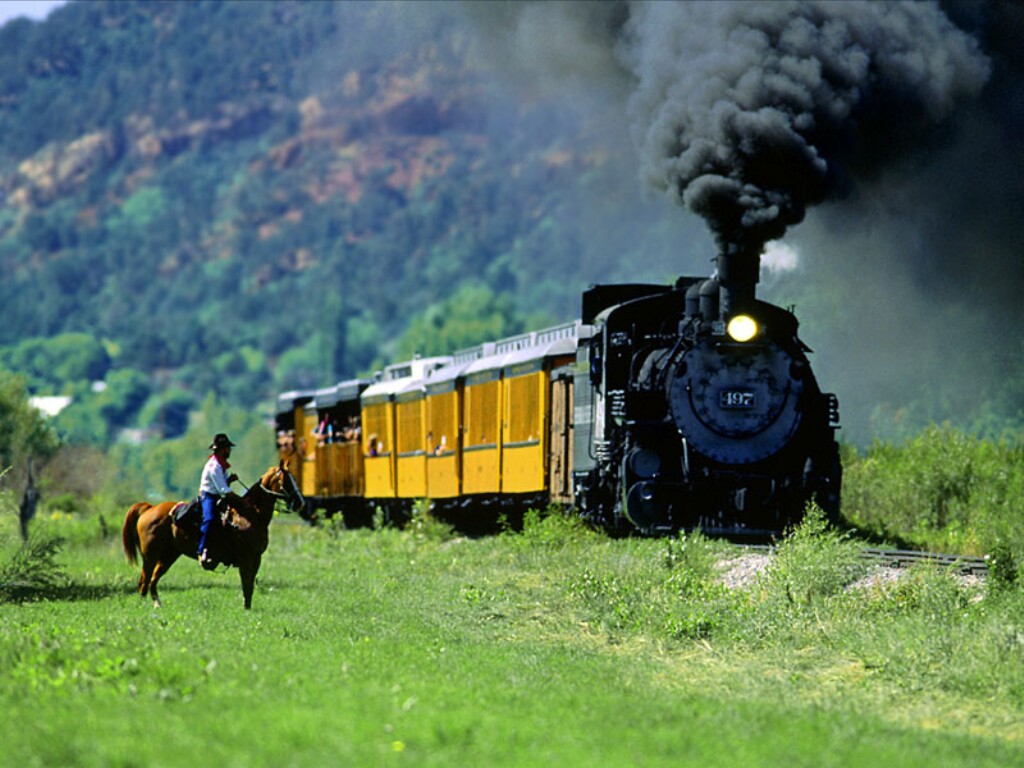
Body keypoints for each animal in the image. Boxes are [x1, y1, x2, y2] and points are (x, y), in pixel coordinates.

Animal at [120, 466, 303, 610]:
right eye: (287, 481)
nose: (300, 502)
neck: (251, 514)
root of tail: (150, 508)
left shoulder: (255, 559)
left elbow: (249, 586)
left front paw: (247, 608)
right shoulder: (247, 558)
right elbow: (247, 584)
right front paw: (246, 609)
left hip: (168, 556)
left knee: (152, 580)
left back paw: (157, 605)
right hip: (150, 556)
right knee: (144, 580)